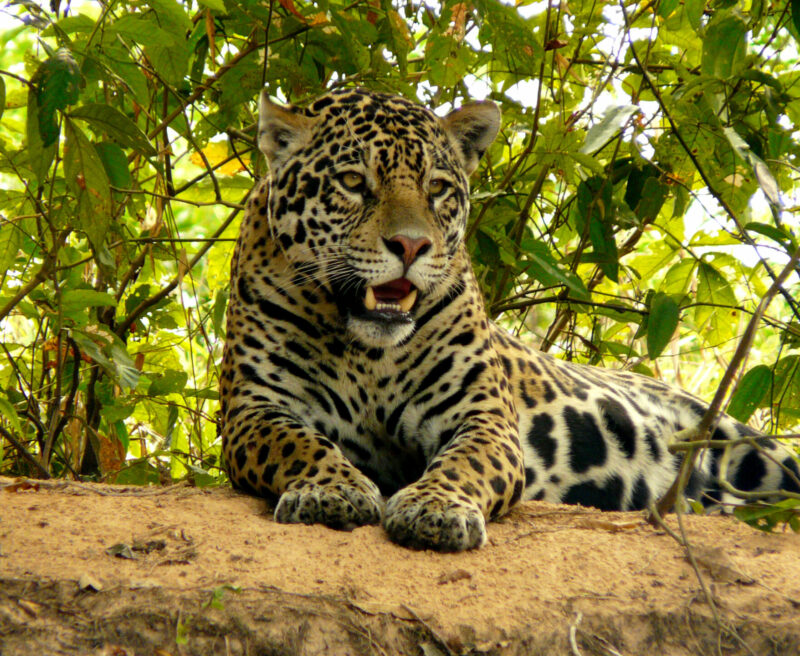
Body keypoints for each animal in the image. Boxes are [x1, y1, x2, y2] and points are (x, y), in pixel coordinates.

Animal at [220, 87, 800, 551]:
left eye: (437, 188)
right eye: (352, 181)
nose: (411, 245)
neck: (368, 351)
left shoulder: (484, 416)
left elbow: (463, 463)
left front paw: (435, 509)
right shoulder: (255, 410)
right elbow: (300, 443)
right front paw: (331, 489)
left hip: (746, 444)